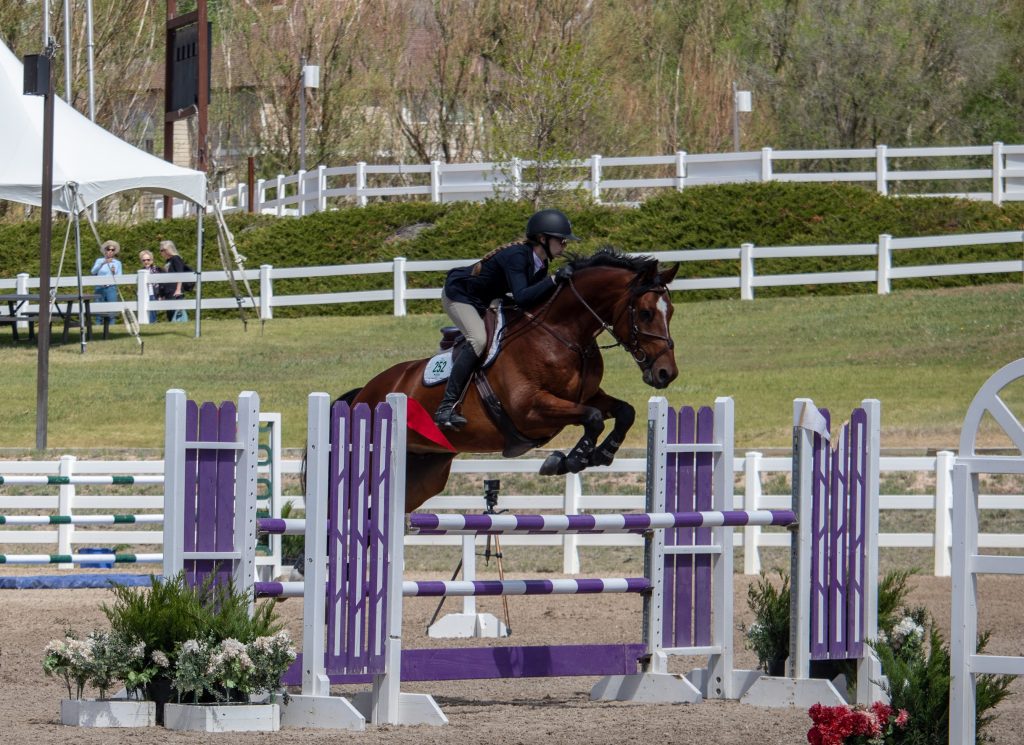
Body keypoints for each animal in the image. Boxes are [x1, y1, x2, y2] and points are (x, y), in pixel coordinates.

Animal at [344, 248, 680, 511]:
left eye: (671, 312)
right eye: (646, 313)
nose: (667, 373)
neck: (564, 333)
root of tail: (362, 394)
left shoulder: (585, 395)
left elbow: (624, 411)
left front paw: (601, 454)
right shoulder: (530, 409)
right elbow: (593, 418)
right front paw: (570, 460)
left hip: (423, 472)